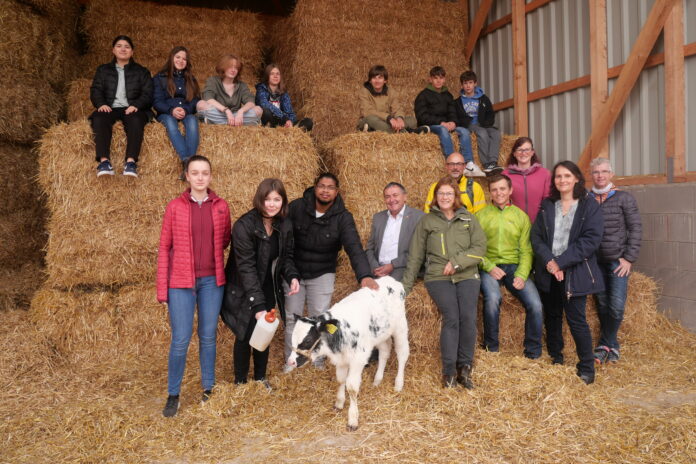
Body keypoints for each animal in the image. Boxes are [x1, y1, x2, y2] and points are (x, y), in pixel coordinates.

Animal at [286, 276, 408, 432]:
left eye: (307, 340)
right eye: (292, 338)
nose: (291, 361)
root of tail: (391, 280)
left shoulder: (358, 359)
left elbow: (352, 387)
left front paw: (353, 419)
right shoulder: (341, 359)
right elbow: (340, 380)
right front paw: (339, 404)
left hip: (400, 327)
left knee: (402, 353)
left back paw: (398, 384)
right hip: (380, 335)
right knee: (385, 351)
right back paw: (377, 380)